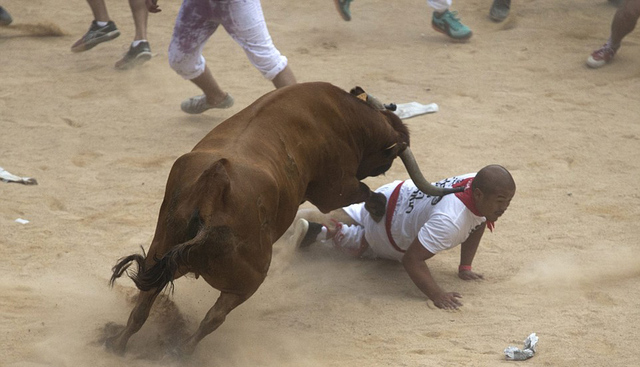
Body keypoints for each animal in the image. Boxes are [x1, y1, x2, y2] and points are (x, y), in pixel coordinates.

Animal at [107, 82, 462, 358]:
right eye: (388, 156)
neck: (346, 115)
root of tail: (214, 184)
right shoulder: (333, 187)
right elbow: (365, 193)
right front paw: (377, 210)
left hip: (159, 253)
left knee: (143, 306)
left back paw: (118, 344)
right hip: (248, 279)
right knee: (214, 317)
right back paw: (182, 349)